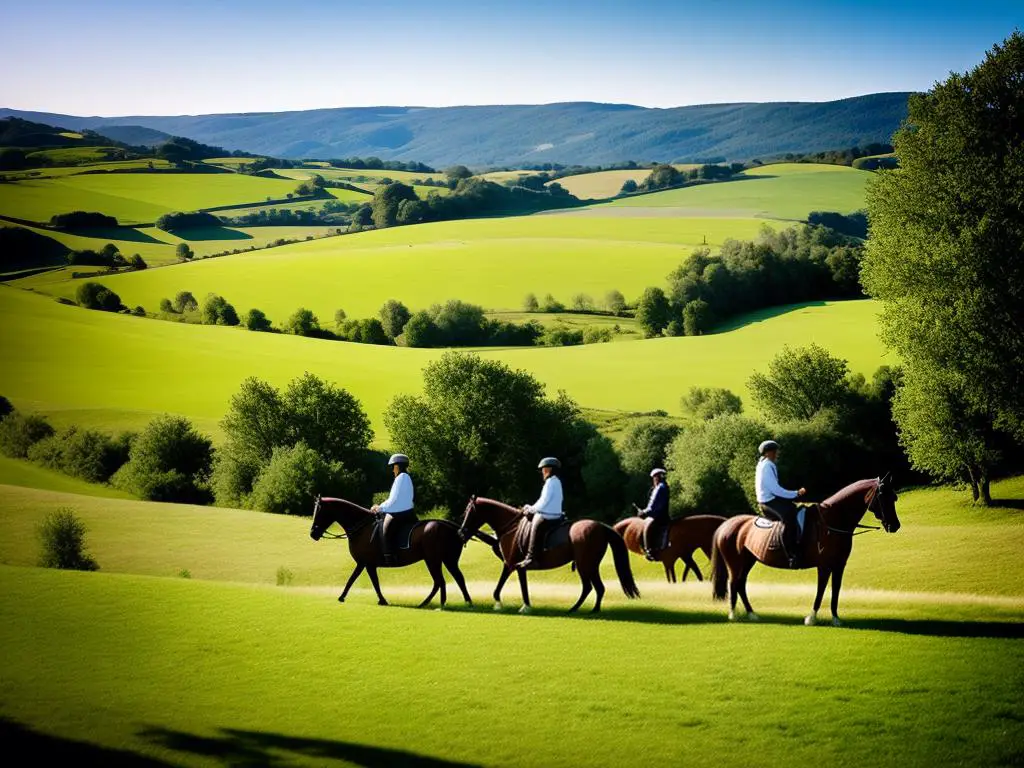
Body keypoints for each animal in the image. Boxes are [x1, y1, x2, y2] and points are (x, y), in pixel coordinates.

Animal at [309, 495, 473, 610]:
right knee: (457, 579)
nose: (313, 534)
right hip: (447, 560)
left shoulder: (364, 563)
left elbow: (360, 581)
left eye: (319, 512)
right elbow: (364, 581)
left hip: (433, 560)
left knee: (440, 581)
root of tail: (452, 527)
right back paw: (463, 603)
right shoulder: (366, 564)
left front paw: (344, 597)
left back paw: (433, 604)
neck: (362, 528)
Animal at [458, 499, 638, 614]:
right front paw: (526, 606)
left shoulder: (509, 564)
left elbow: (498, 588)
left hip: (585, 565)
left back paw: (581, 609)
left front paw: (499, 604)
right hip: (590, 565)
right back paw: (587, 609)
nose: (461, 532)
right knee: (596, 588)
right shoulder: (519, 567)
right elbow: (524, 587)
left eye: (469, 513)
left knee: (592, 587)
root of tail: (601, 526)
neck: (511, 528)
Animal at [708, 475, 901, 626]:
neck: (831, 521)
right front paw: (812, 618)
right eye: (883, 496)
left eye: (894, 498)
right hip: (735, 562)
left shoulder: (839, 565)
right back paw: (733, 615)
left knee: (741, 583)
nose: (895, 526)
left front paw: (835, 618)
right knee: (734, 582)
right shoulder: (824, 566)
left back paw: (751, 614)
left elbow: (836, 590)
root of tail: (728, 524)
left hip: (748, 560)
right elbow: (821, 589)